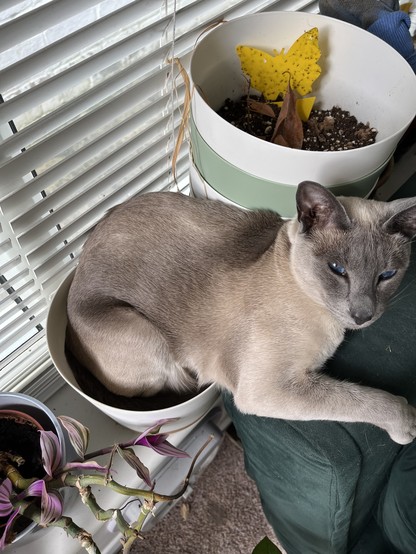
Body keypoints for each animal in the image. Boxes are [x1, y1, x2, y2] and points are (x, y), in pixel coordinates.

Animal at [64, 182, 416, 444]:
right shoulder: (269, 389)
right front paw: (409, 423)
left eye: (387, 275)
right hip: (149, 336)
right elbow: (363, 398)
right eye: (337, 269)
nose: (362, 315)